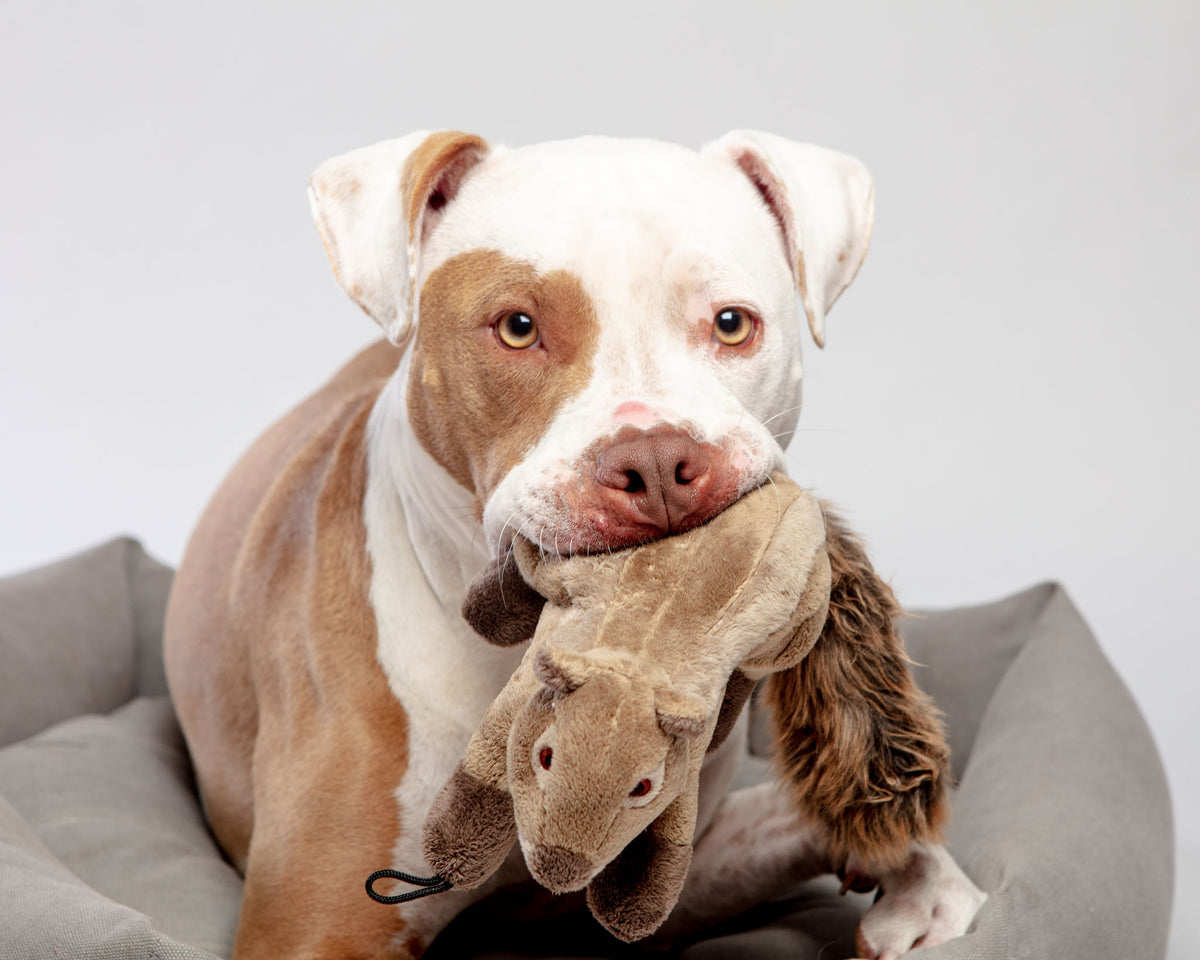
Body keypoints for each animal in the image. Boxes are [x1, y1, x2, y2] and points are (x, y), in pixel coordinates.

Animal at [162, 129, 984, 960]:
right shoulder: (315, 929)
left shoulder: (643, 878)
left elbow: (801, 819)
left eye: (731, 323)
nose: (656, 463)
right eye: (517, 327)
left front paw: (924, 882)